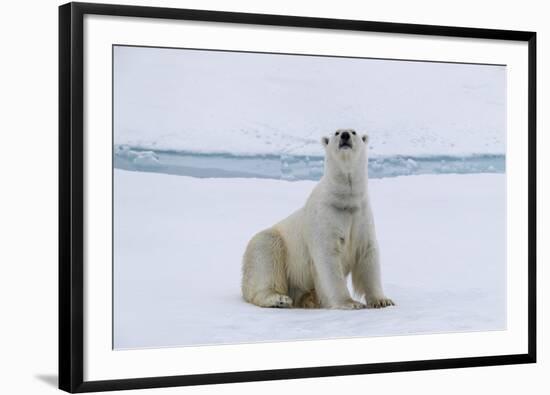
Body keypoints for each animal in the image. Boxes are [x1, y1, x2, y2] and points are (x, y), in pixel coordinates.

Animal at [244, 129, 394, 310]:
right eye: (336, 132)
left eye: (354, 132)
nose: (345, 135)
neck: (345, 201)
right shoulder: (325, 218)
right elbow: (327, 258)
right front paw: (350, 303)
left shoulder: (361, 217)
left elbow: (367, 254)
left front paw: (383, 300)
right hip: (275, 245)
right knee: (265, 257)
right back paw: (279, 299)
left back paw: (310, 298)